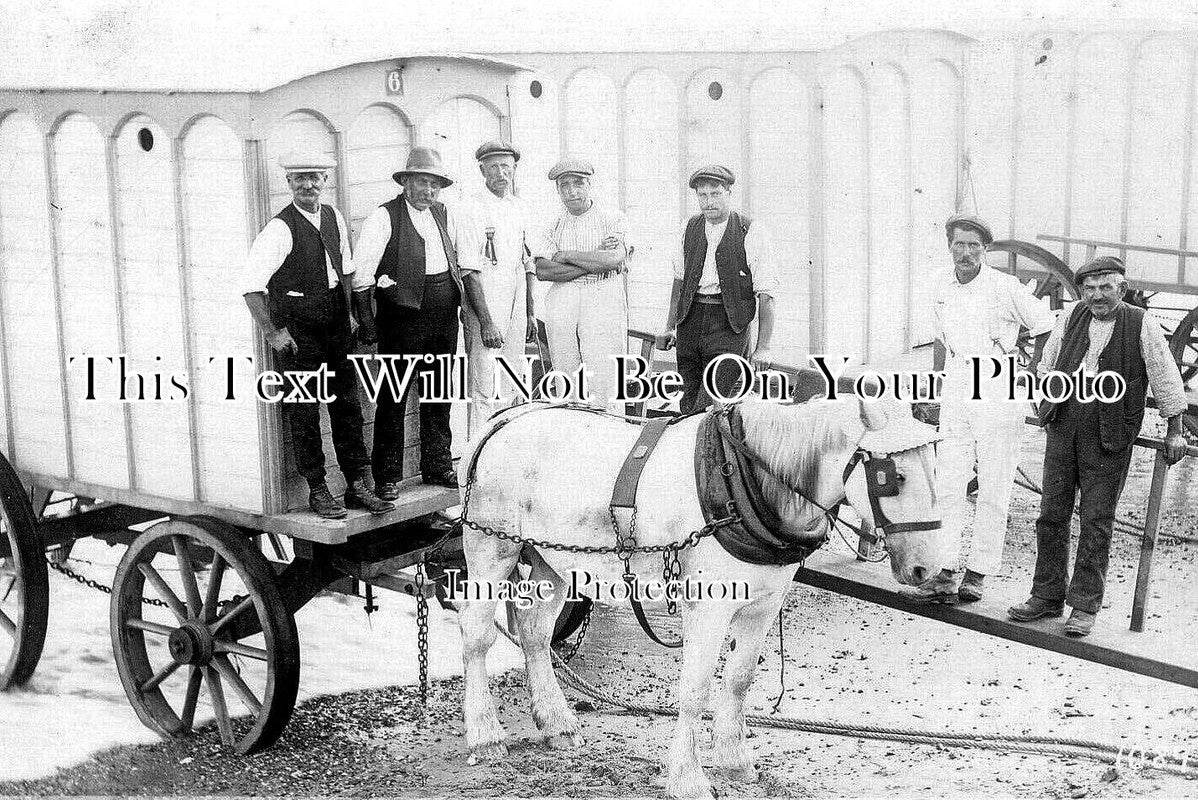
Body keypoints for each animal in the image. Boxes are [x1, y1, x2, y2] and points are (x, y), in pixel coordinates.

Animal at [455, 397, 944, 795]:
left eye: (935, 468)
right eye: (892, 477)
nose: (928, 567)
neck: (741, 478)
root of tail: (502, 419)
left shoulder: (763, 605)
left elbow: (739, 679)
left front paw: (734, 759)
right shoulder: (709, 608)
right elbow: (695, 690)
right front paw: (687, 777)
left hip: (552, 560)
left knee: (535, 634)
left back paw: (556, 723)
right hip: (492, 546)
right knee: (477, 636)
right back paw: (484, 732)